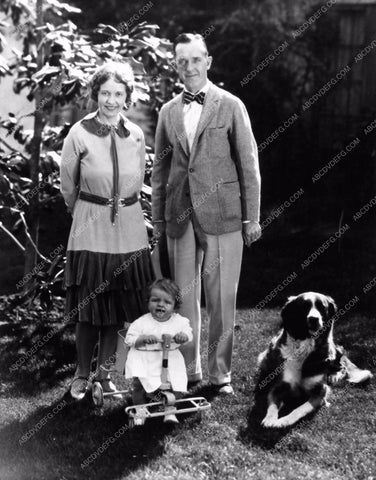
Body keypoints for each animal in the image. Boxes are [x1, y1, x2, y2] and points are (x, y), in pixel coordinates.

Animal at [258, 290, 372, 430]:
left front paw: (284, 421)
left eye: (322, 307)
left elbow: (300, 409)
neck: (305, 348)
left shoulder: (320, 391)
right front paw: (270, 419)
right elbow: (273, 405)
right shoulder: (279, 386)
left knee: (342, 366)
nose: (314, 319)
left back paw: (334, 375)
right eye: (304, 307)